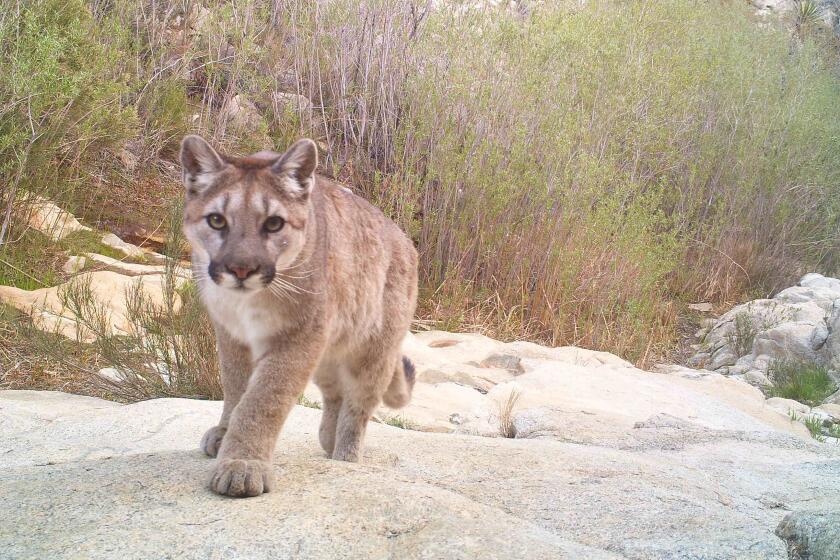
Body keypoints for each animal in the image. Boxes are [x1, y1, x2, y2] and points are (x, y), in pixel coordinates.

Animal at [184, 136, 420, 498]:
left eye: (274, 223)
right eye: (217, 220)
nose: (241, 269)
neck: (244, 303)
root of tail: (407, 241)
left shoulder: (298, 336)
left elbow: (263, 399)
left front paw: (242, 465)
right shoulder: (231, 334)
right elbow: (235, 386)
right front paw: (224, 434)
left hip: (373, 352)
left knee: (358, 406)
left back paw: (344, 456)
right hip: (327, 351)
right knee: (335, 393)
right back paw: (327, 438)